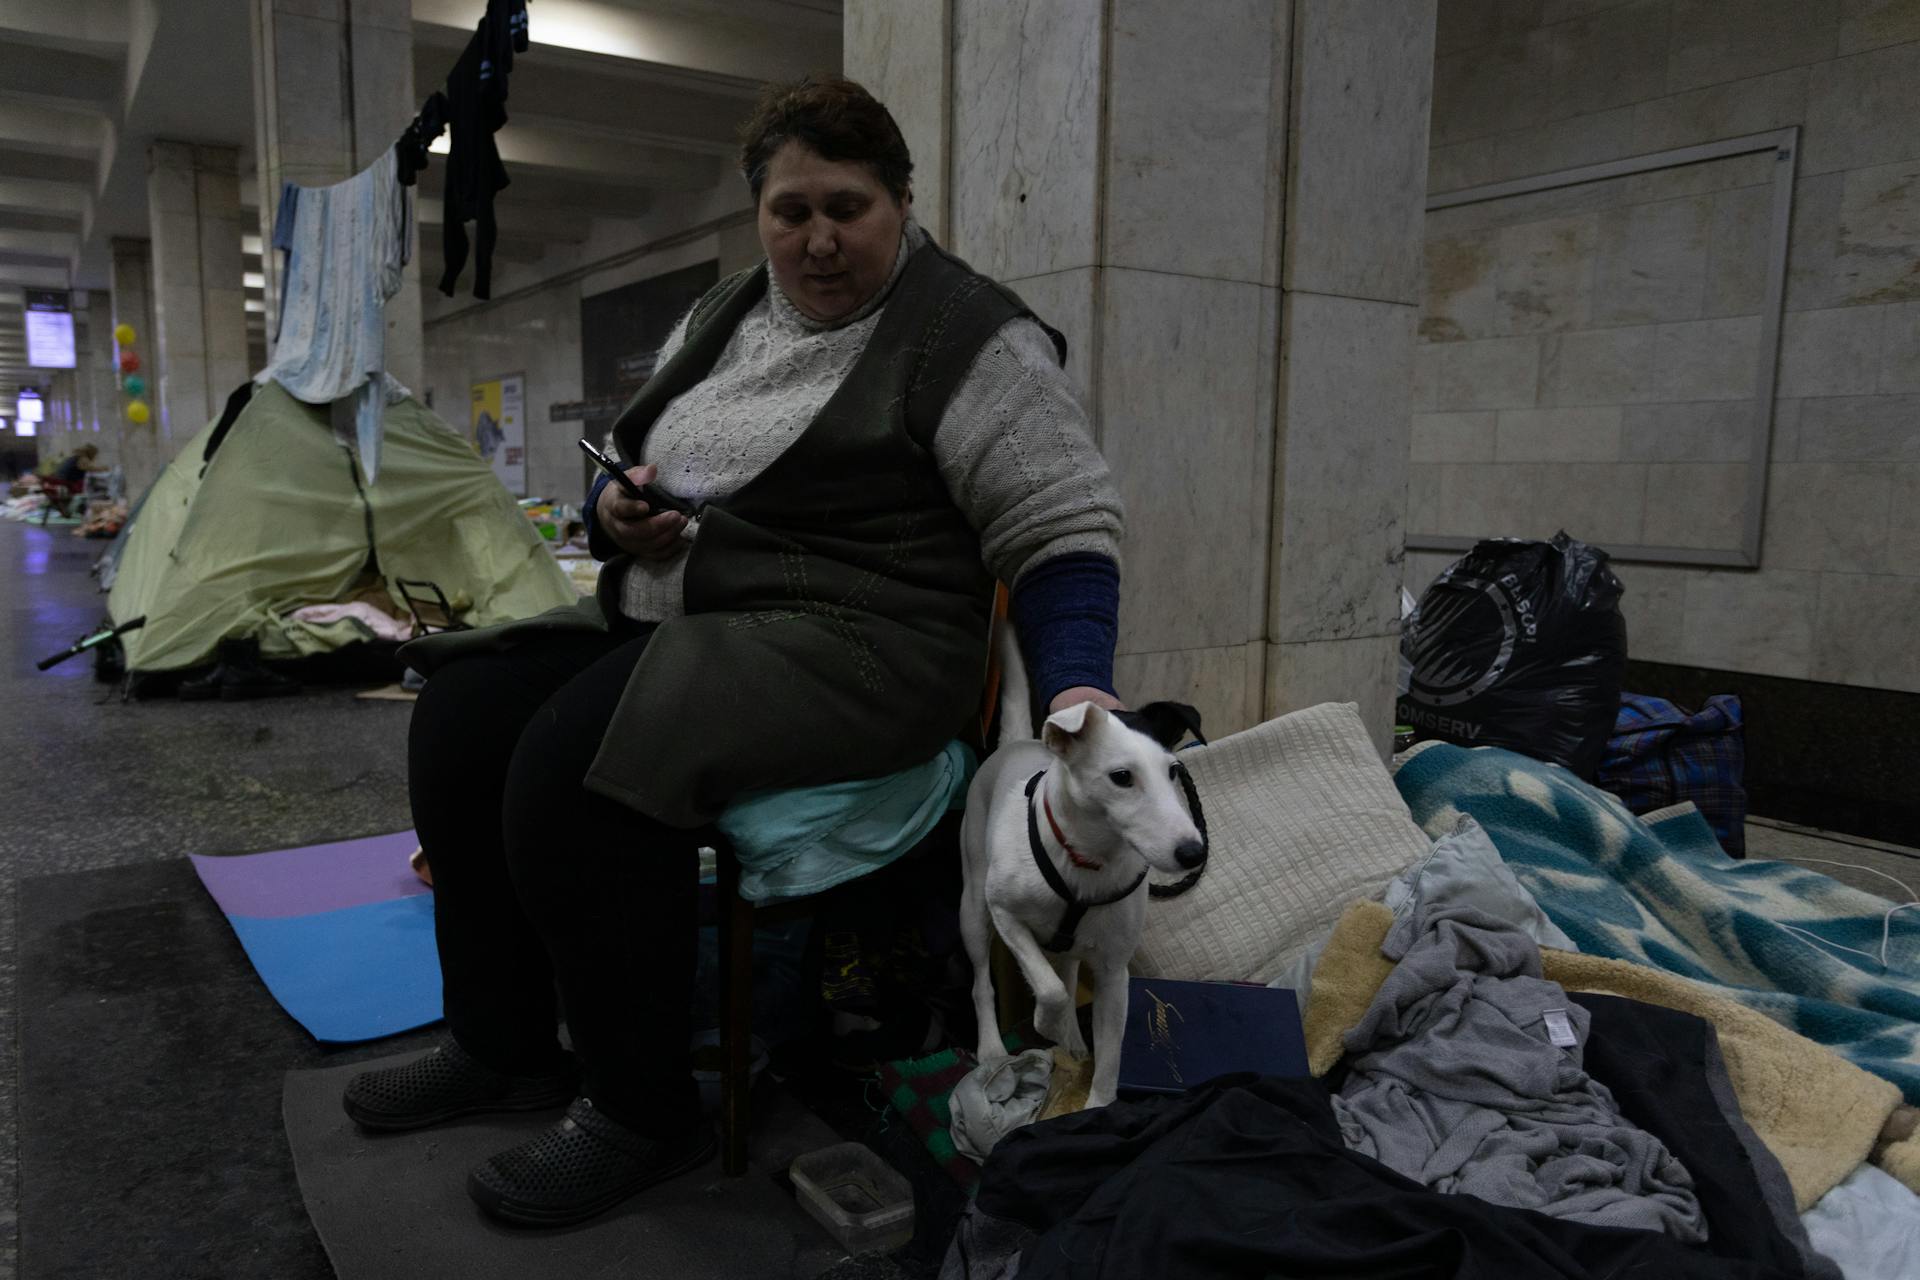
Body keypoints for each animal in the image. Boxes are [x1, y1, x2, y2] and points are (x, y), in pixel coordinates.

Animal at [956, 621, 1205, 1113]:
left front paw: (1096, 1104)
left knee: (1067, 975)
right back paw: (993, 1047)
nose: (1193, 853)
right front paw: (1049, 1025)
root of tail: (1015, 743)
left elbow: (1108, 1056)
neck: (1088, 861)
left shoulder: (1113, 974)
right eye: (1121, 777)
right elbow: (1047, 988)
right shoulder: (1005, 914)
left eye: (1173, 771)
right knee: (982, 982)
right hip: (972, 908)